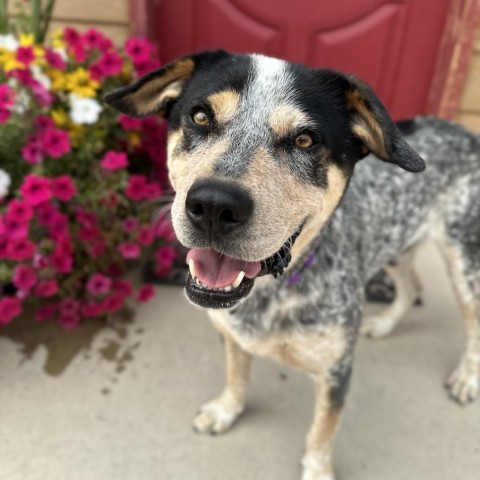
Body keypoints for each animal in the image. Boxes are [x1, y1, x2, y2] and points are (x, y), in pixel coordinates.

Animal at [105, 51, 480, 480]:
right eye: (200, 117)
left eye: (305, 139)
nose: (214, 205)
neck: (271, 295)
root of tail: (468, 133)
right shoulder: (231, 335)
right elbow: (236, 376)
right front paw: (225, 411)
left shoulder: (336, 372)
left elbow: (320, 433)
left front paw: (317, 471)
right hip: (398, 244)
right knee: (412, 286)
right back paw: (384, 324)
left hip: (465, 261)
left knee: (472, 321)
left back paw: (467, 378)